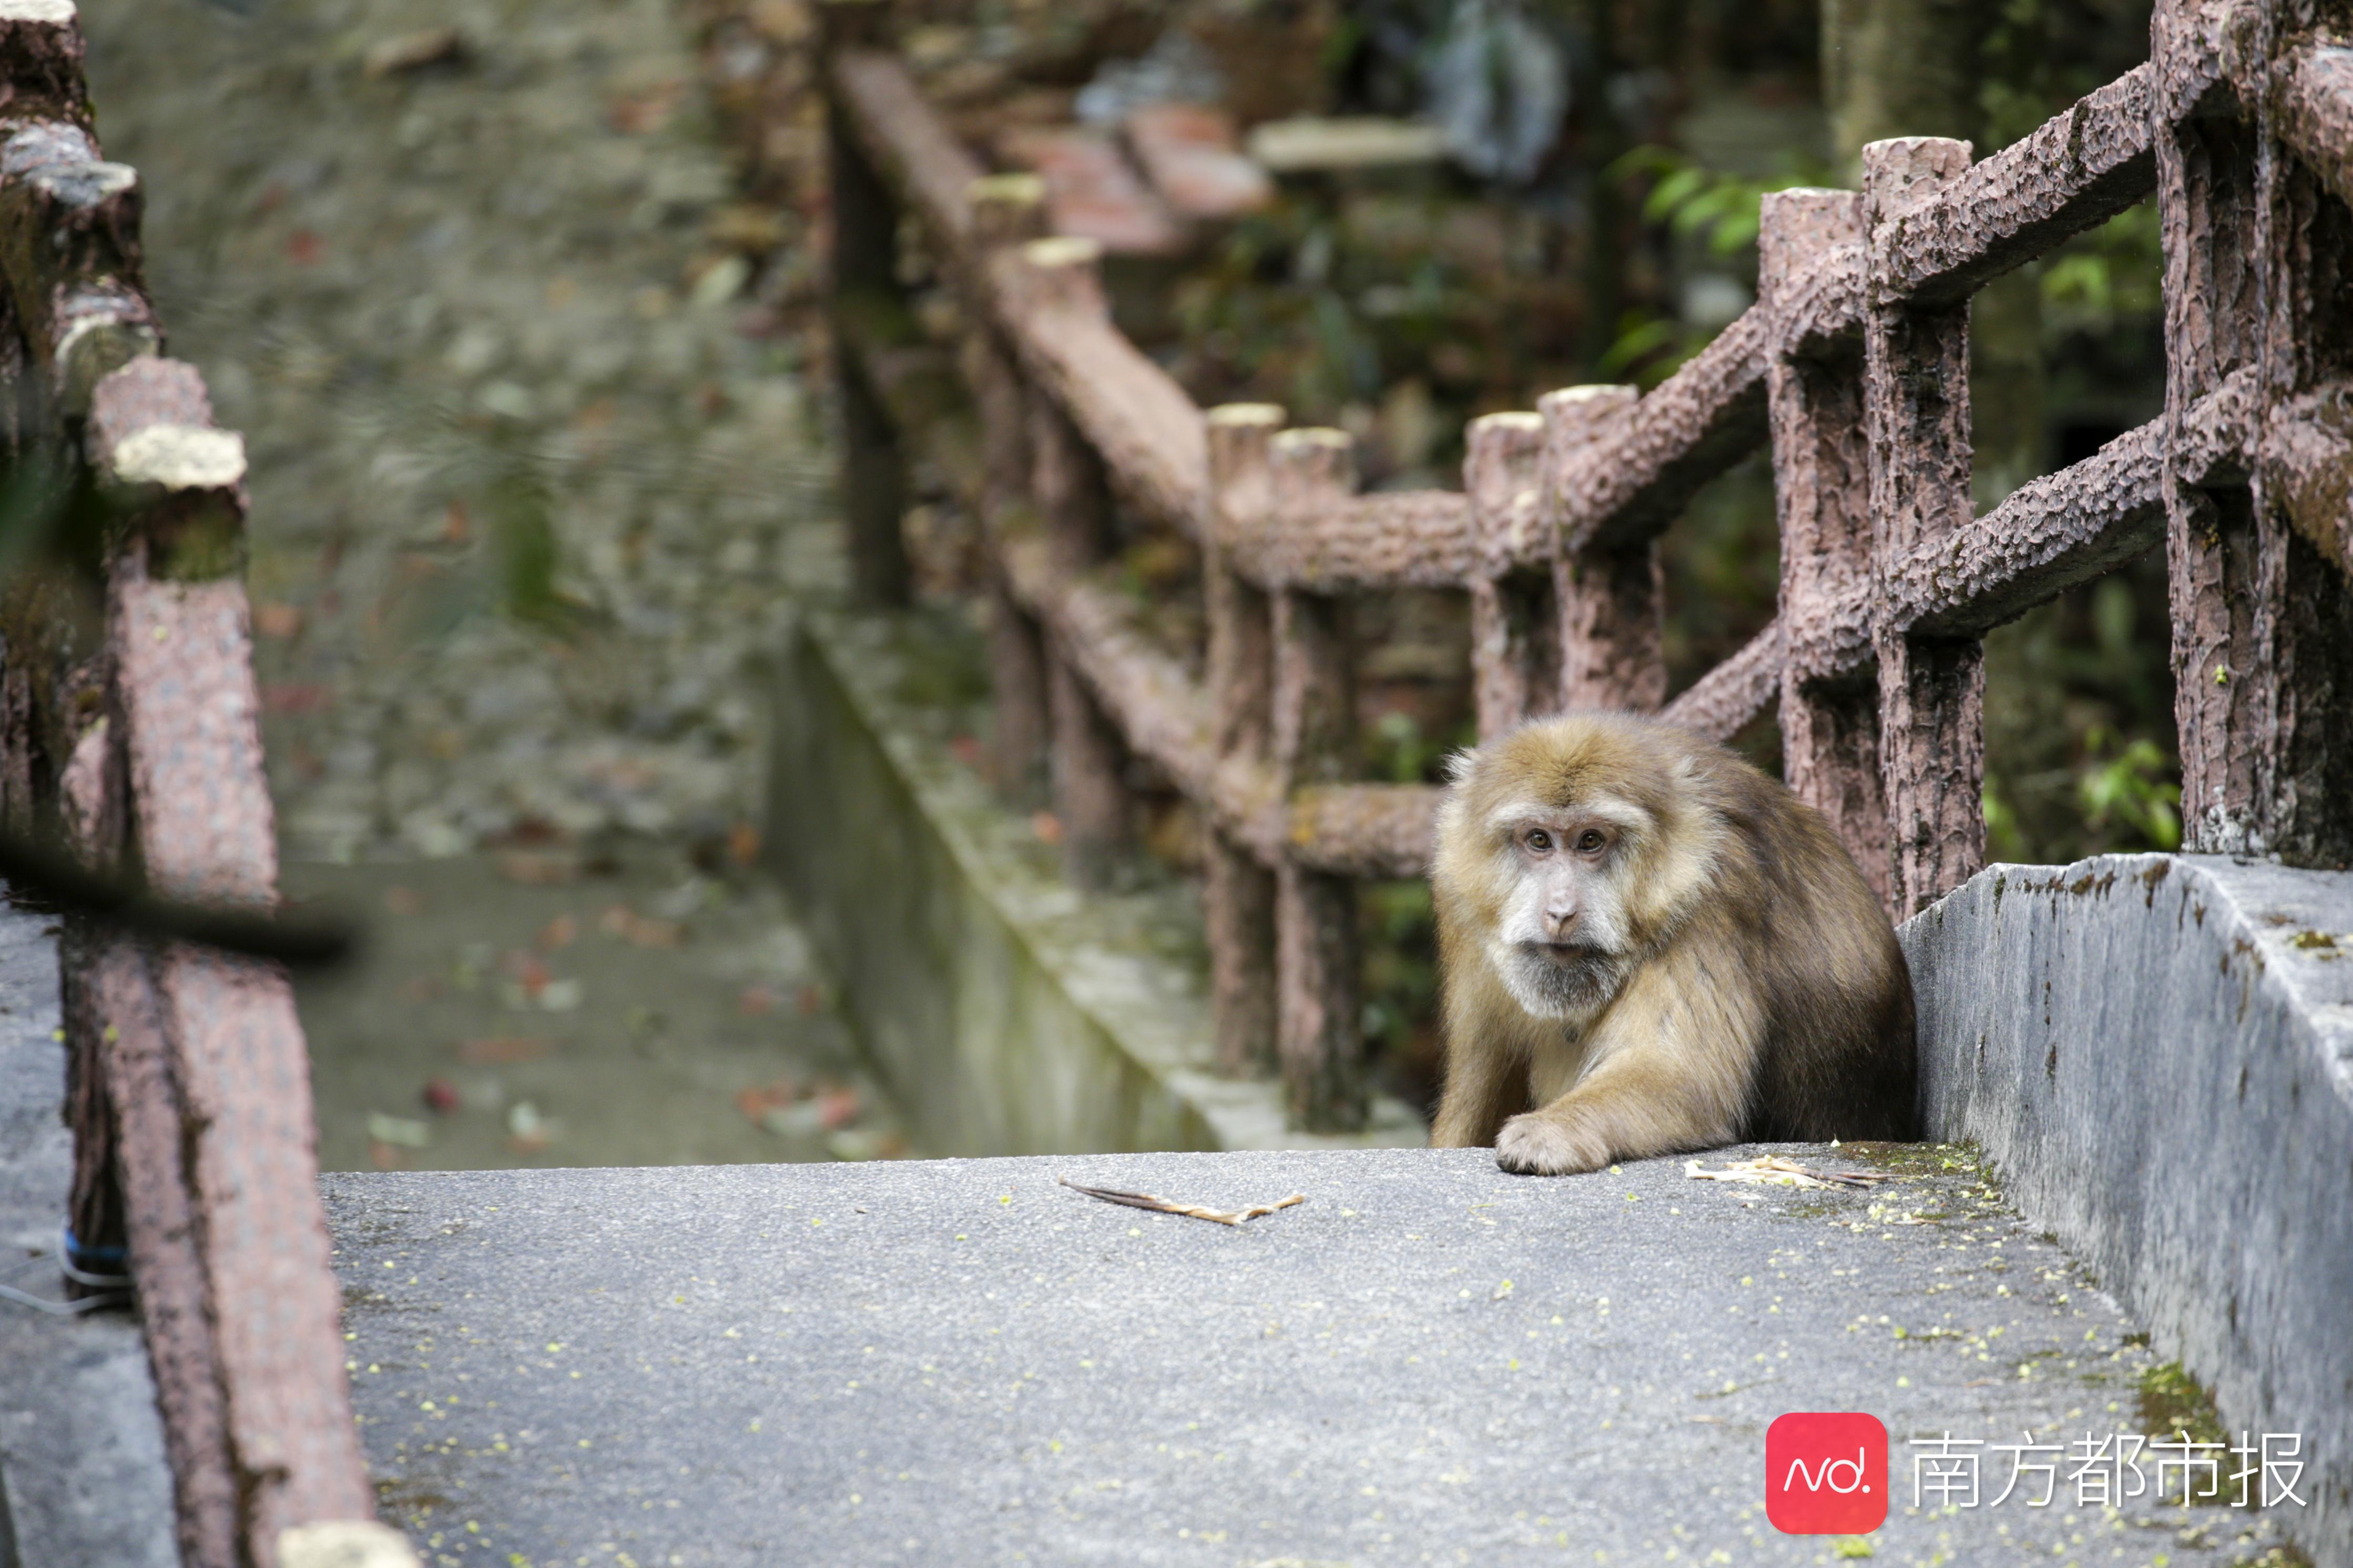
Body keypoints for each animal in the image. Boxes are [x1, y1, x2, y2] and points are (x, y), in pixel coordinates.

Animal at [1430, 710, 1910, 1175]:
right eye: (1538, 839)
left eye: (1590, 840)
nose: (1561, 912)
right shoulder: (1461, 904)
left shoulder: (1710, 893)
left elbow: (1679, 1076)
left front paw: (1552, 1131)